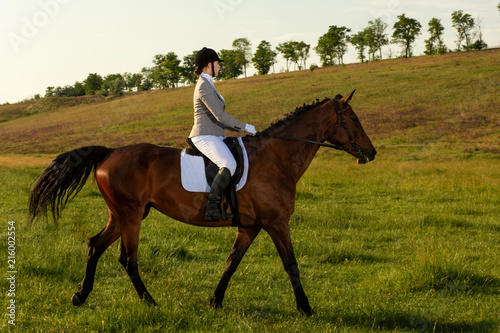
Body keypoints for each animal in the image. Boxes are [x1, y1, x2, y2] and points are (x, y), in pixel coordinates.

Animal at [29, 91, 376, 314]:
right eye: (354, 118)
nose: (371, 153)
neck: (276, 156)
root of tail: (109, 152)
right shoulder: (276, 223)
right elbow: (290, 264)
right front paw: (306, 308)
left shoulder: (250, 227)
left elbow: (231, 263)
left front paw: (215, 301)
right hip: (129, 216)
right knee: (128, 259)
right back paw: (149, 302)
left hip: (121, 215)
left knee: (95, 246)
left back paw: (80, 296)